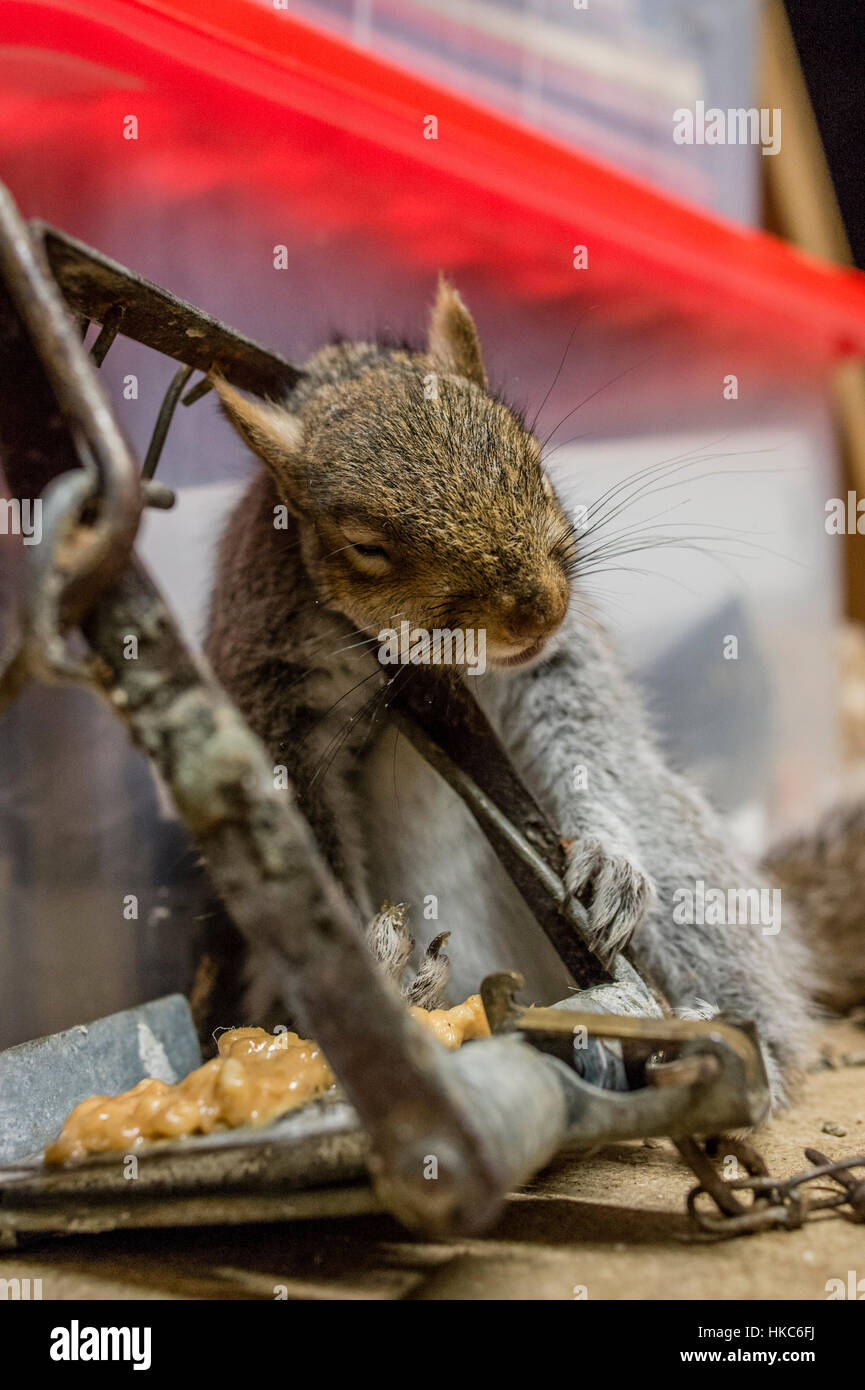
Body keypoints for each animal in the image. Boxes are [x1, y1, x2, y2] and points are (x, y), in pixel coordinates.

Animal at [207, 279, 823, 1106]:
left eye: (532, 459)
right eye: (364, 545)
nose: (539, 610)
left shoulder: (553, 665)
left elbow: (585, 724)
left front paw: (606, 860)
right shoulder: (268, 682)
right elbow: (296, 825)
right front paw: (363, 954)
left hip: (687, 877)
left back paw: (727, 1053)